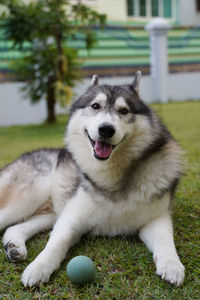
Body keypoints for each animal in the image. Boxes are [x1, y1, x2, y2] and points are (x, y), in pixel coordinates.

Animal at [0, 72, 184, 286]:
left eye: (124, 110)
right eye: (95, 106)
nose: (106, 129)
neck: (112, 174)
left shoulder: (156, 218)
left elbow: (165, 241)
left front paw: (172, 265)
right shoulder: (71, 219)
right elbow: (56, 244)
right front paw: (39, 267)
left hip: (49, 213)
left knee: (14, 227)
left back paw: (14, 247)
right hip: (26, 198)